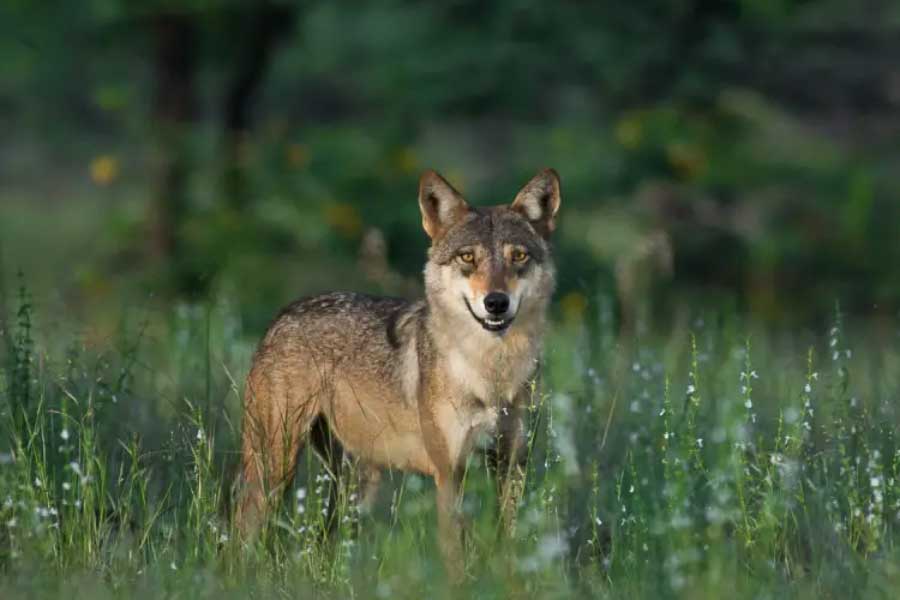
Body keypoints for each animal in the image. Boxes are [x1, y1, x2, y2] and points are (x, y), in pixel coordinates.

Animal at [236, 168, 561, 578]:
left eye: (518, 256)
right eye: (467, 257)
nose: (496, 302)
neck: (491, 374)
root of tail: (281, 315)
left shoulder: (509, 465)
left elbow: (508, 542)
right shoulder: (449, 472)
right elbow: (455, 556)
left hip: (354, 483)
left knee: (325, 541)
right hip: (274, 469)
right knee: (241, 530)